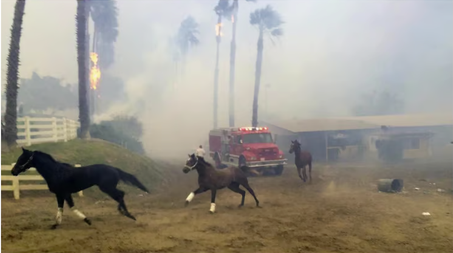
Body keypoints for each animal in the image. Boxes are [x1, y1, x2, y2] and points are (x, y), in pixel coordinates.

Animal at [10, 147, 148, 228]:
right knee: (121, 194)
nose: (13, 171)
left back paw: (127, 214)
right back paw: (125, 213)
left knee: (120, 194)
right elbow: (60, 208)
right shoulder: (59, 194)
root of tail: (115, 169)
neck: (56, 172)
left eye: (22, 158)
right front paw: (55, 224)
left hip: (107, 188)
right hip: (108, 188)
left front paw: (87, 220)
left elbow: (72, 208)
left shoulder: (66, 193)